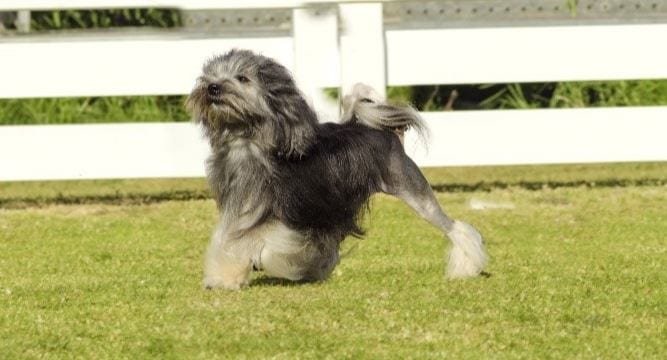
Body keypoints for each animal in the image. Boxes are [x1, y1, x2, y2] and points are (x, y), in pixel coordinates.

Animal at [185, 49, 488, 290]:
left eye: (242, 78)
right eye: (210, 75)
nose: (212, 88)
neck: (247, 141)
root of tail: (380, 131)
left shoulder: (289, 213)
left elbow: (272, 246)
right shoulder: (241, 208)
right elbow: (229, 241)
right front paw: (224, 278)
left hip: (411, 187)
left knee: (454, 227)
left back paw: (467, 266)